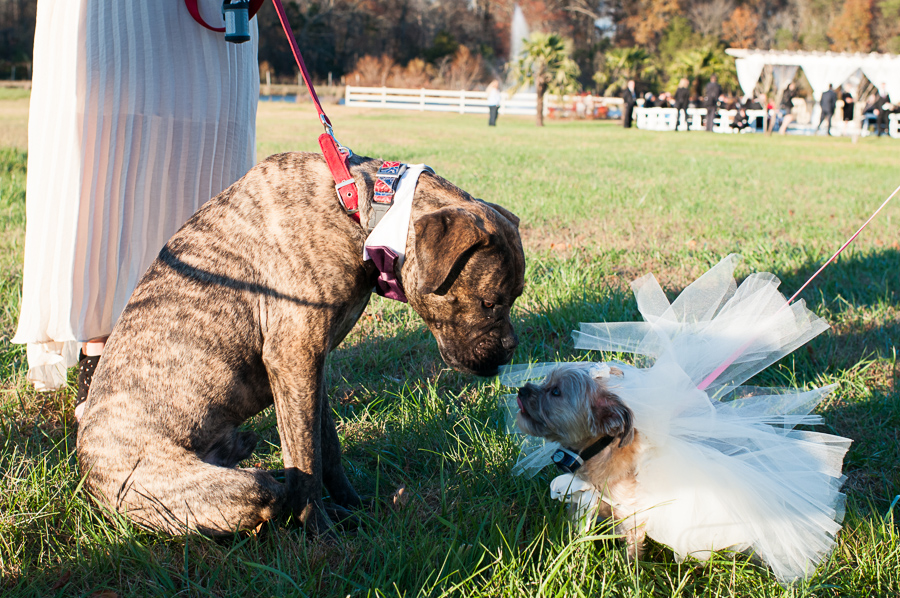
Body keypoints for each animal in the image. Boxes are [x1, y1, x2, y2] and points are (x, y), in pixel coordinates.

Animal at [79, 152, 528, 536]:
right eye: (490, 303)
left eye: (516, 297)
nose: (510, 350)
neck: (358, 214)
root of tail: (90, 479)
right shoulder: (294, 358)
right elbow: (305, 460)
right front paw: (320, 532)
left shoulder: (314, 369)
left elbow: (327, 450)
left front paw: (352, 507)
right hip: (225, 488)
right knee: (267, 496)